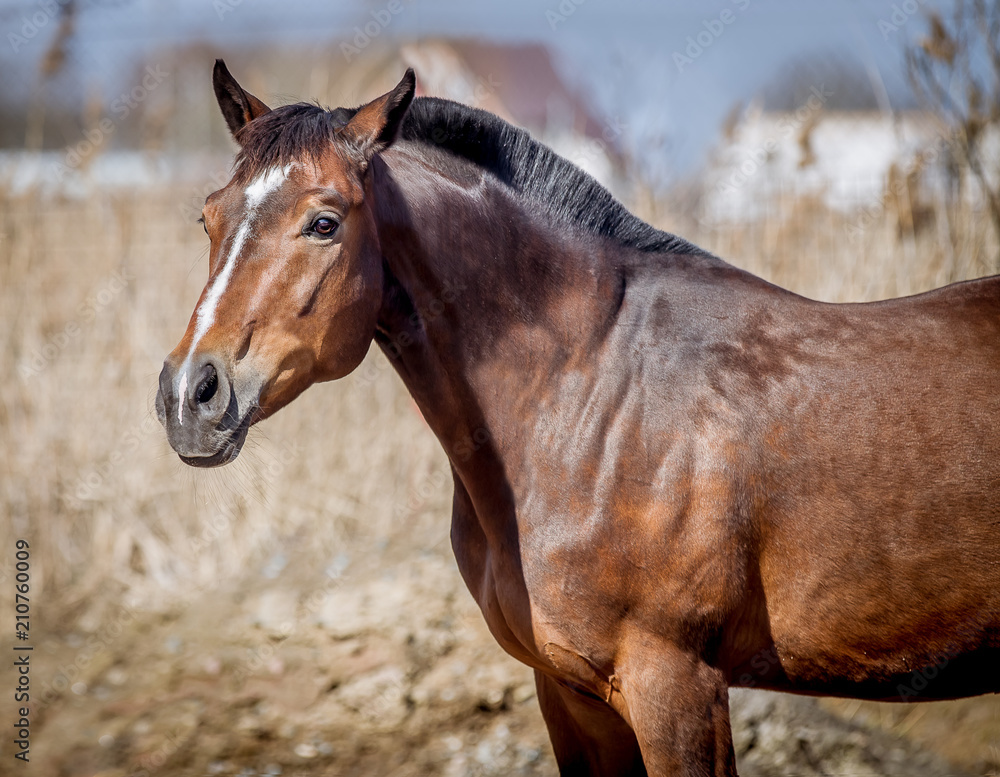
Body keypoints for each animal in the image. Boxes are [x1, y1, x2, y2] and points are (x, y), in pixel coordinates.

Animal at [156, 61, 1000, 776]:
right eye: (208, 218)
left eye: (324, 222)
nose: (190, 395)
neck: (589, 400)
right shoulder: (570, 692)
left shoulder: (677, 687)